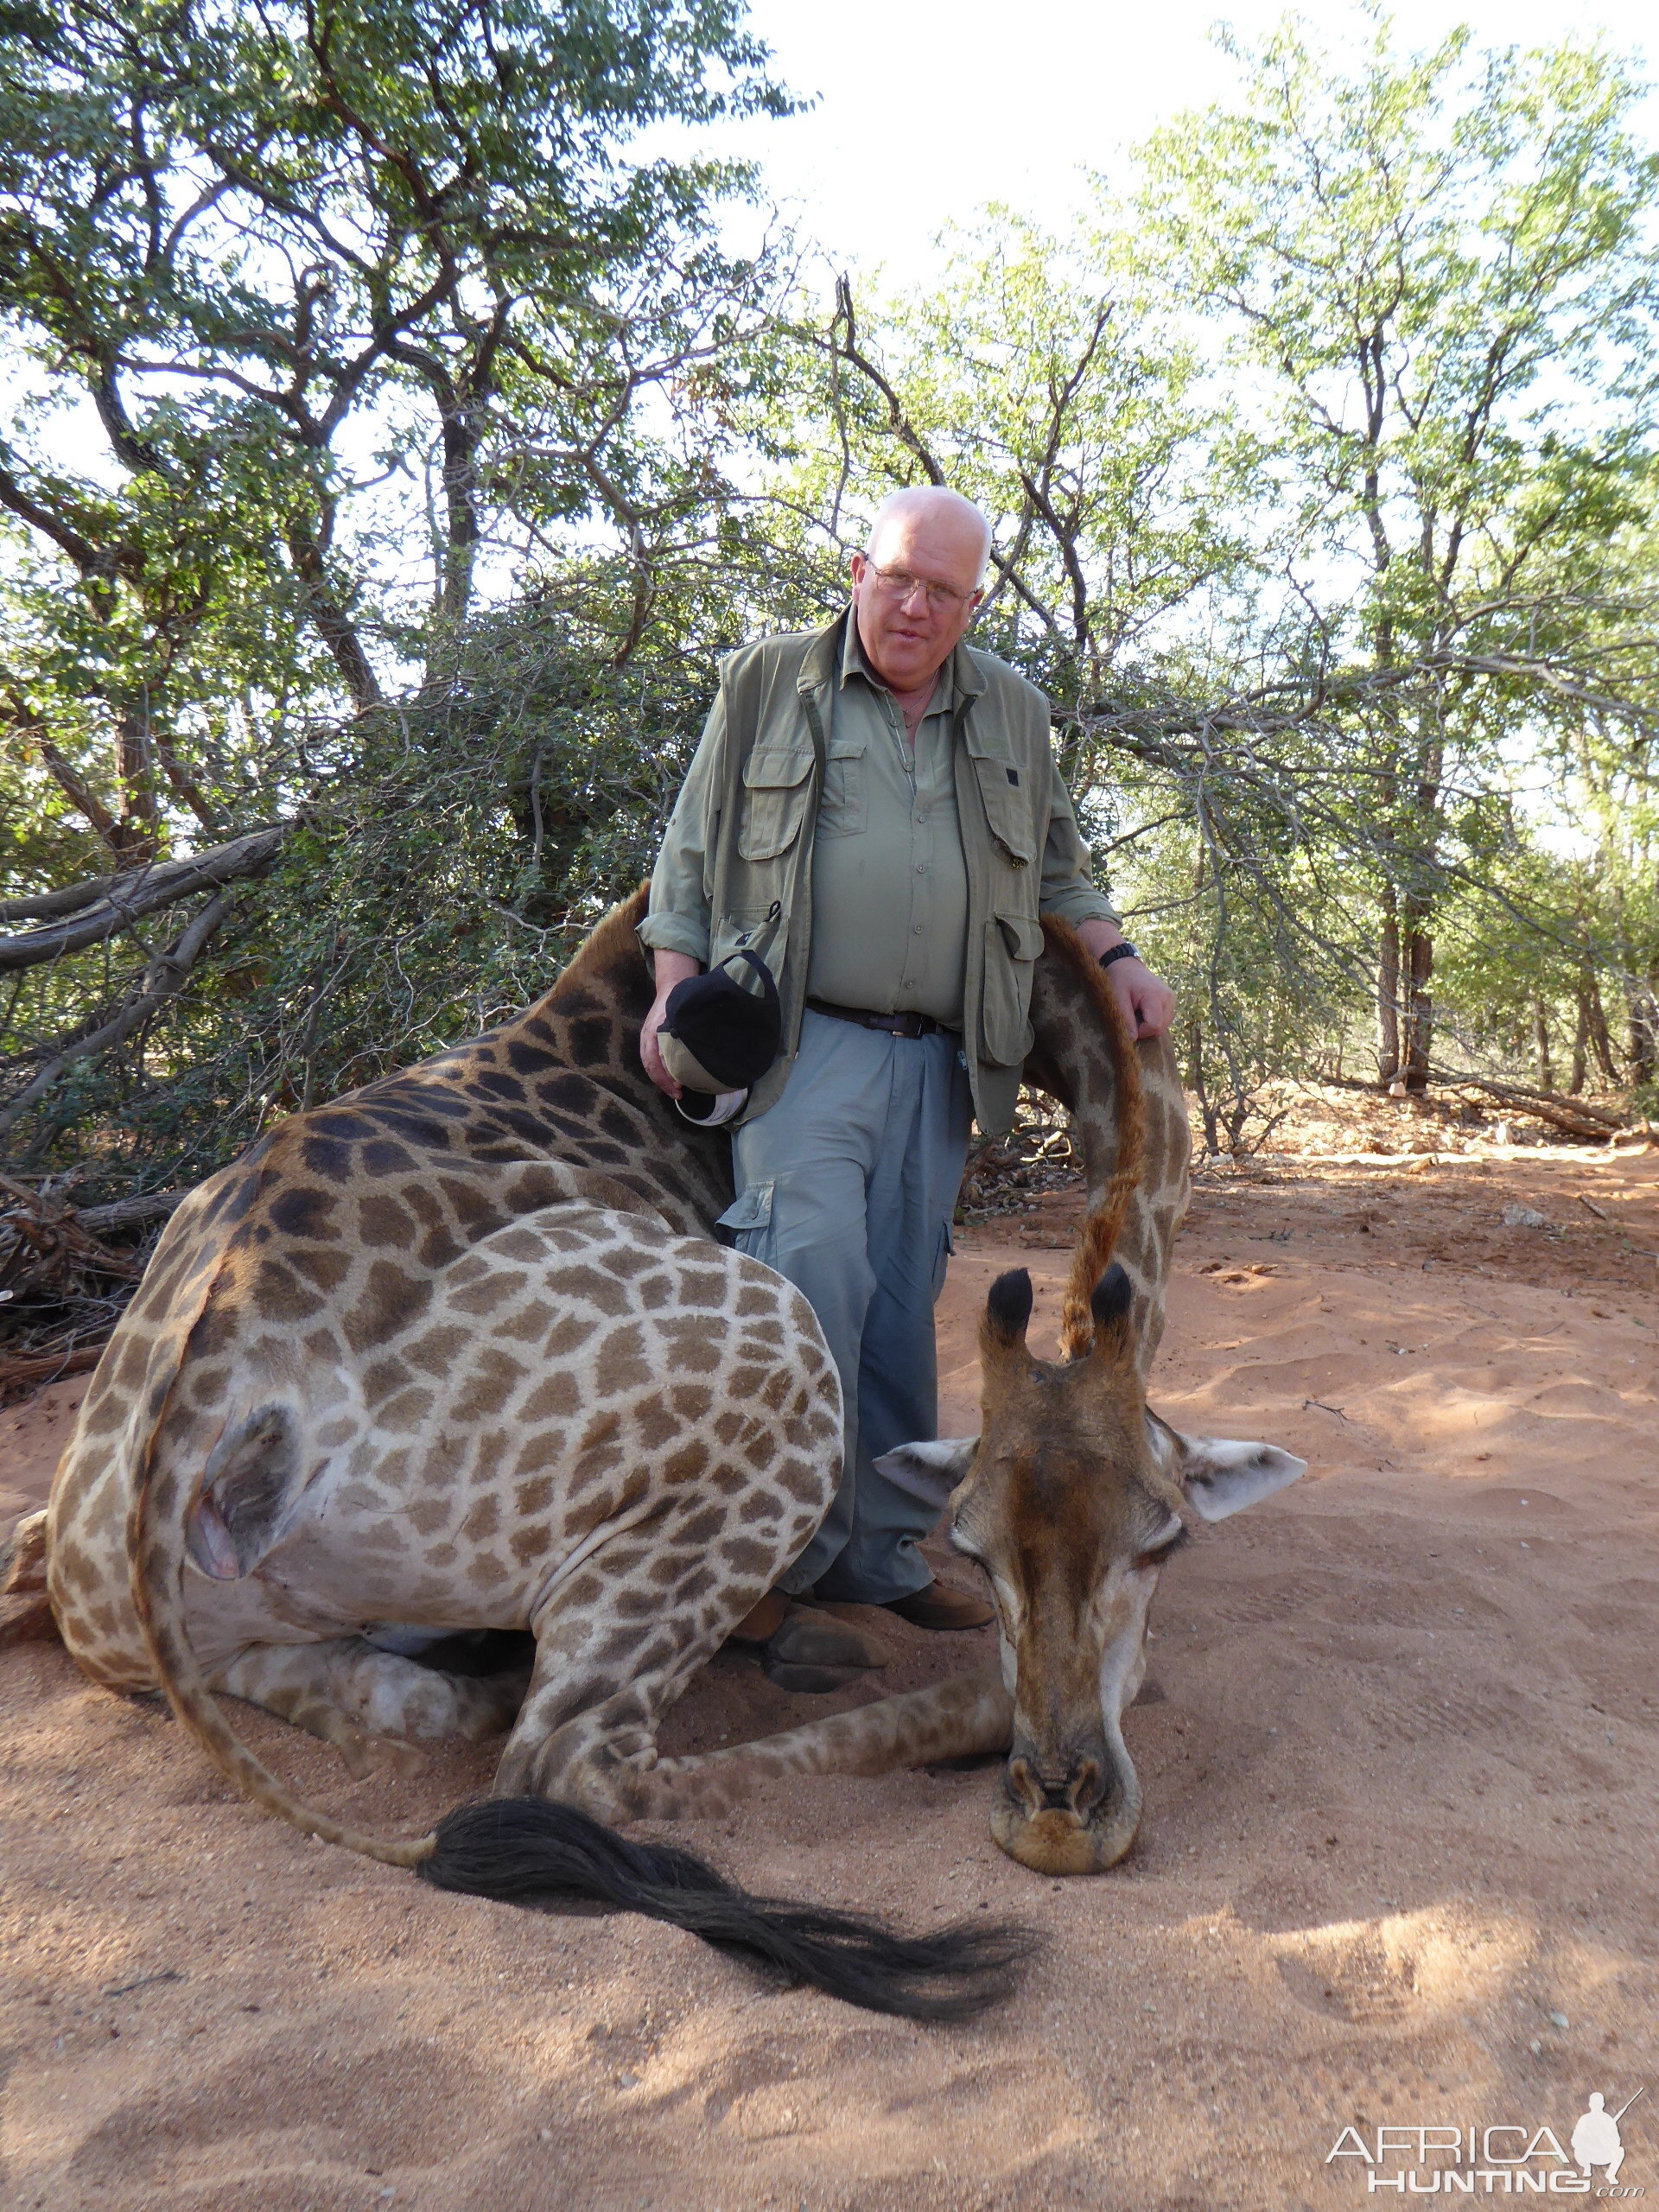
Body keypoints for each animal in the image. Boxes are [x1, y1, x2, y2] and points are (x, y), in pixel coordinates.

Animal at [6, 889, 1309, 2017]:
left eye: (1161, 1543)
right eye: (977, 1554)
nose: (1057, 1815)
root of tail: (200, 1420)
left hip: (184, 1608)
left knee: (410, 1703)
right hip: (785, 1354)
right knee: (575, 1765)